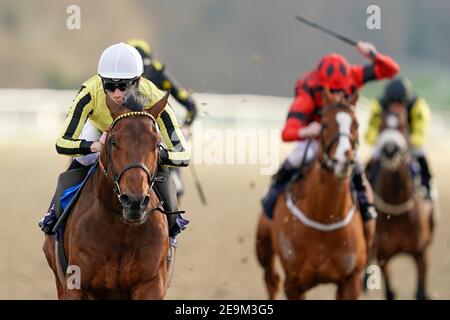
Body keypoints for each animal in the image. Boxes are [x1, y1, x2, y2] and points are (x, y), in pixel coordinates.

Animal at [43, 90, 175, 300]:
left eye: (157, 144)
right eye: (113, 141)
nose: (135, 202)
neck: (121, 231)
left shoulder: (150, 284)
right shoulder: (77, 287)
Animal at [256, 92, 370, 300]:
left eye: (356, 124)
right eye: (324, 124)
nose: (343, 160)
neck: (325, 218)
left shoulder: (351, 279)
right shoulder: (294, 283)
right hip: (263, 248)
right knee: (271, 279)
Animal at [366, 105, 436, 300]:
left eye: (403, 124)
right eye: (380, 125)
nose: (390, 150)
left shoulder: (420, 253)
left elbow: (419, 291)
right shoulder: (383, 256)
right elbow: (390, 292)